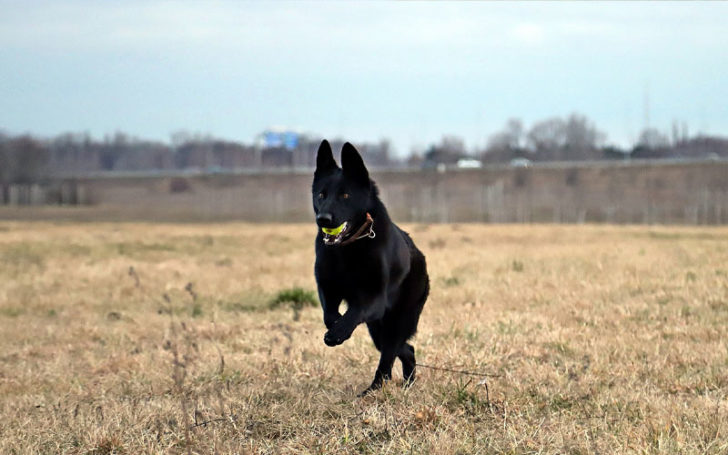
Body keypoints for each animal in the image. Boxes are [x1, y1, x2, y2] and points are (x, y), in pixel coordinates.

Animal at [312, 140, 426, 396]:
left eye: (345, 195)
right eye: (321, 195)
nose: (323, 219)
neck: (348, 248)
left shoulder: (374, 298)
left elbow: (354, 311)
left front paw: (338, 332)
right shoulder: (327, 288)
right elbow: (329, 313)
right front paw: (335, 325)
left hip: (394, 322)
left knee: (389, 357)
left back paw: (373, 390)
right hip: (378, 329)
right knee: (406, 350)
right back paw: (406, 383)